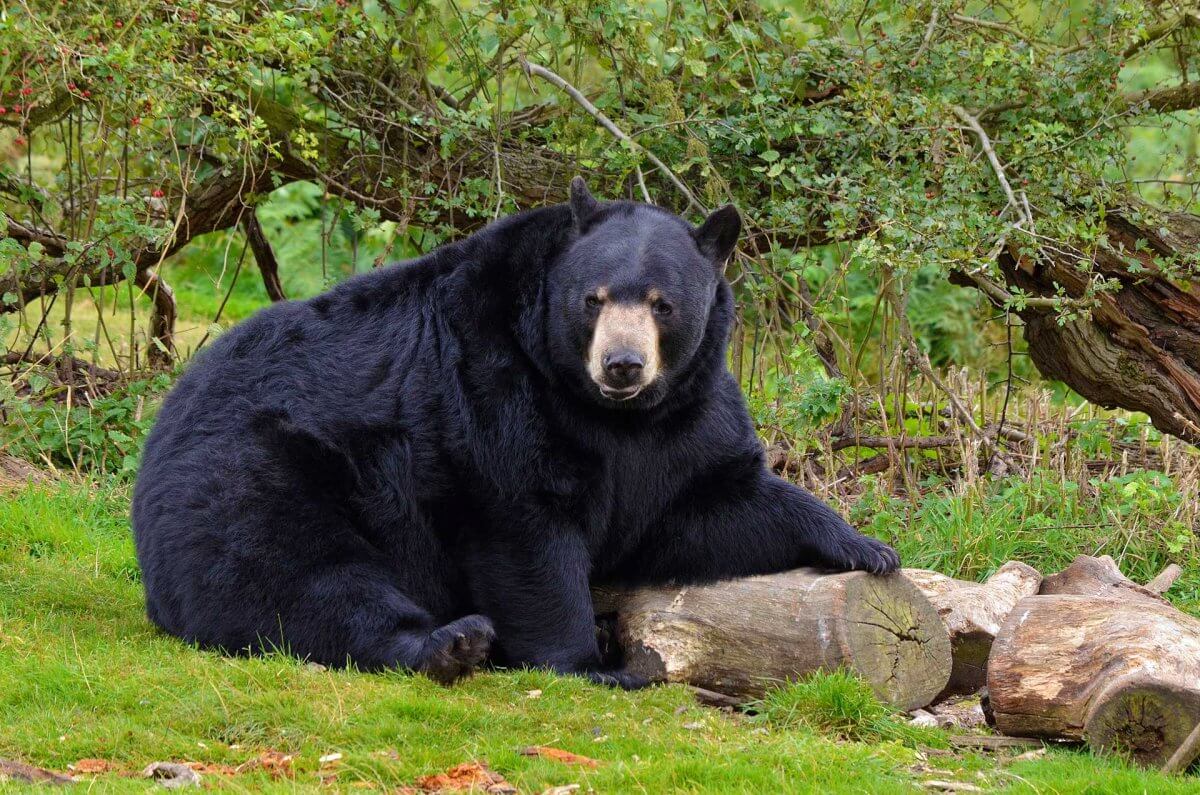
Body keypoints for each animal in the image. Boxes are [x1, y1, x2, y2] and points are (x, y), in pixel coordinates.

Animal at [133, 177, 902, 686]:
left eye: (664, 303)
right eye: (593, 298)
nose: (622, 364)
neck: (609, 414)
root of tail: (162, 427)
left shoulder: (681, 422)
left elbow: (698, 509)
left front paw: (865, 546)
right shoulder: (491, 385)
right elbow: (526, 529)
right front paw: (590, 662)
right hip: (258, 470)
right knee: (298, 572)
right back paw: (451, 643)